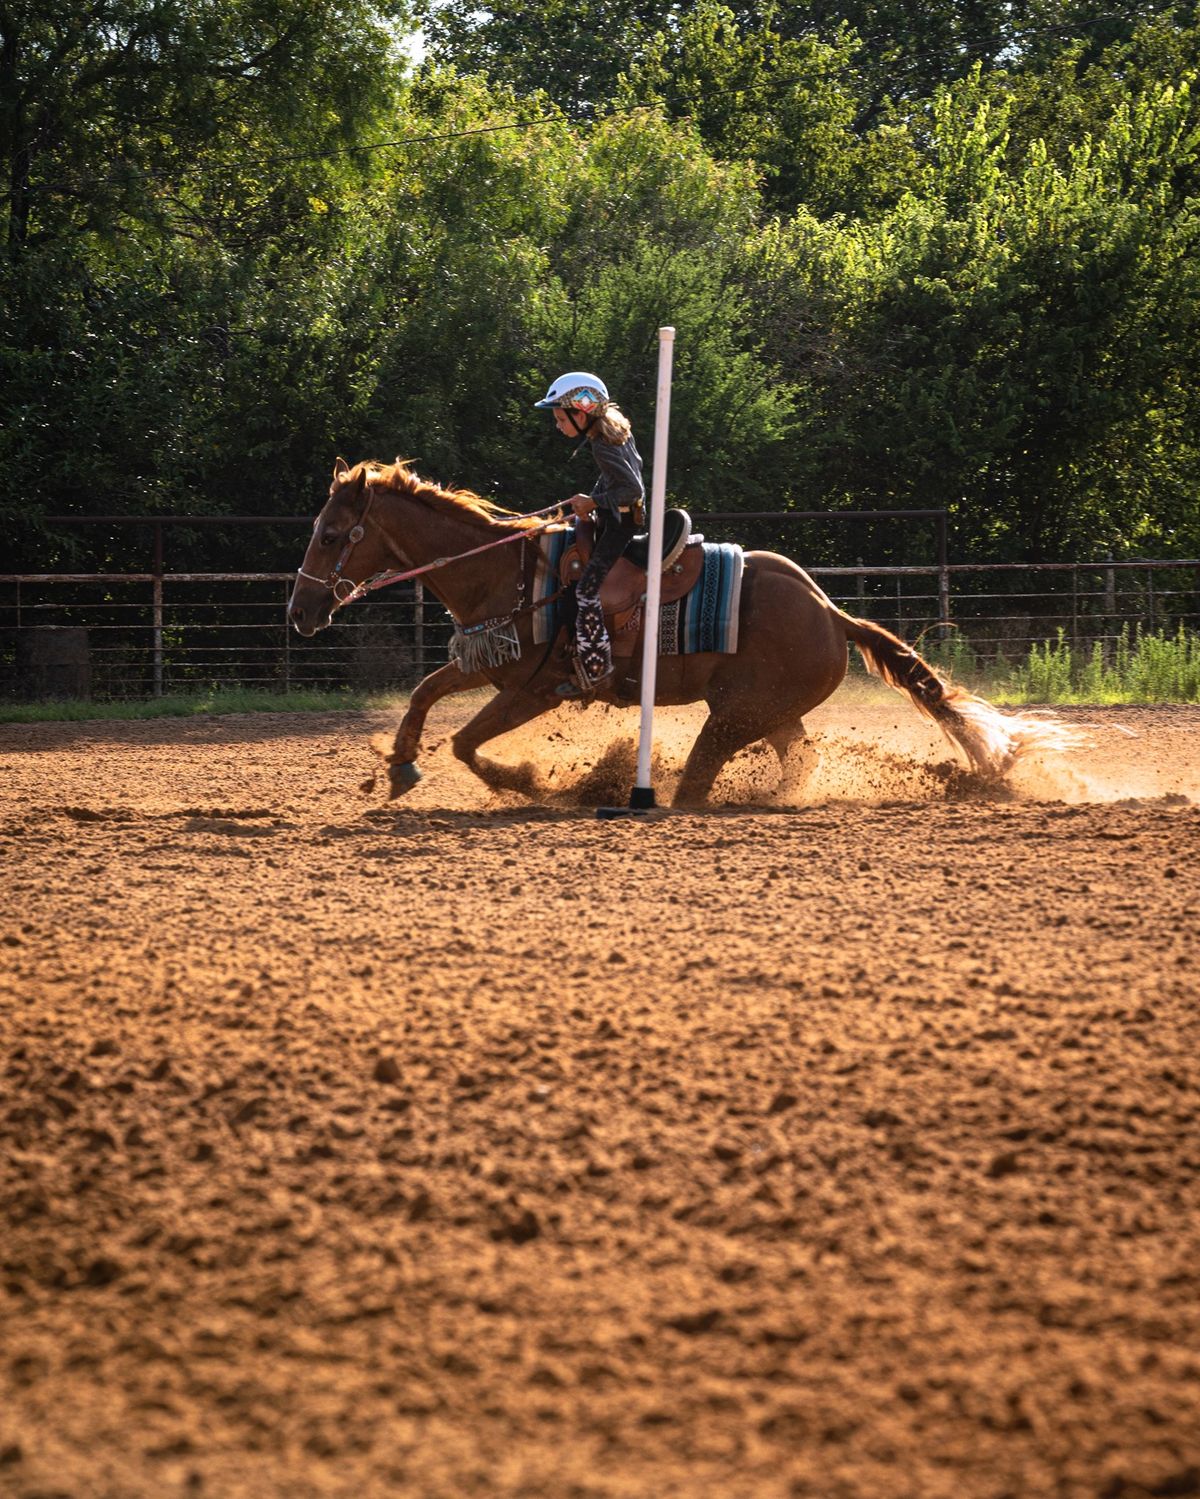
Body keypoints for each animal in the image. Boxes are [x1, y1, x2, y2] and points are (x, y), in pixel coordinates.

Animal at [287, 455, 1066, 809]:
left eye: (329, 534)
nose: (300, 613)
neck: (508, 570)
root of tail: (829, 611)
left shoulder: (534, 687)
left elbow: (466, 741)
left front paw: (524, 781)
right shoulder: (491, 659)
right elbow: (425, 693)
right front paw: (399, 763)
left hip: (735, 715)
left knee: (702, 775)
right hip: (768, 713)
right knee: (798, 760)